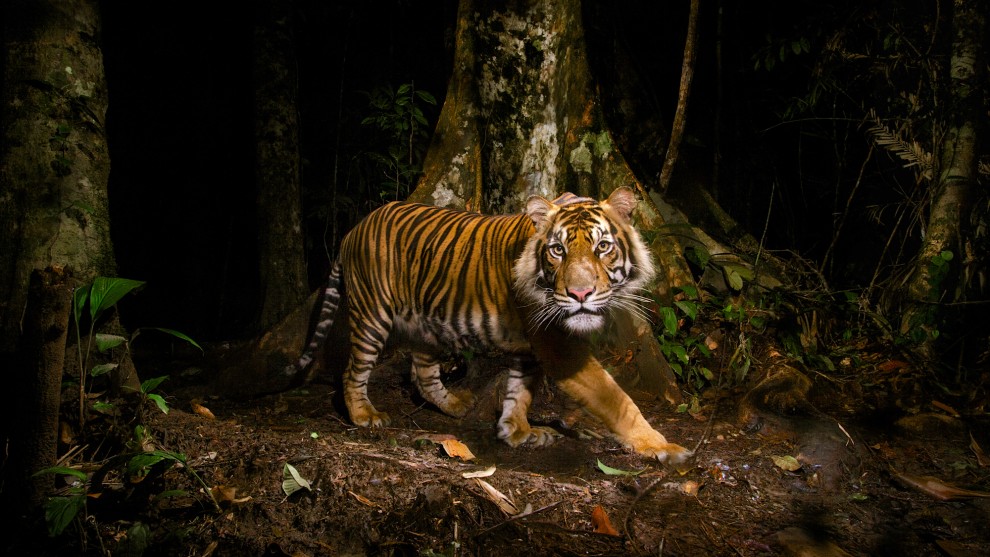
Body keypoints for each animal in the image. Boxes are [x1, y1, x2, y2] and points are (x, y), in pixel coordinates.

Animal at [285, 186, 691, 463]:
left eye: (602, 247)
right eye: (557, 250)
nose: (580, 293)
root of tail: (353, 230)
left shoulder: (532, 347)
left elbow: (519, 392)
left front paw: (518, 432)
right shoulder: (558, 346)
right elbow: (617, 399)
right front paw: (661, 446)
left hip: (427, 324)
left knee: (423, 372)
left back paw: (456, 405)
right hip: (373, 315)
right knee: (353, 370)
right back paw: (365, 415)